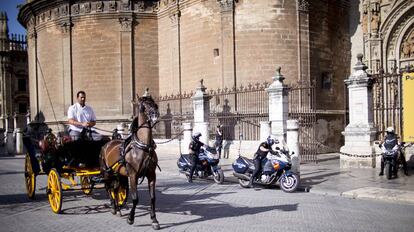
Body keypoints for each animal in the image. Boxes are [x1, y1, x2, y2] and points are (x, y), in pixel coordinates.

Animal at [98, 93, 160, 230]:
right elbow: (135, 198)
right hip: (107, 172)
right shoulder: (132, 175)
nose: (155, 115)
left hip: (118, 174)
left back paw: (118, 208)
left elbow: (153, 198)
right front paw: (130, 218)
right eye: (143, 105)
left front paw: (154, 220)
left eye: (154, 103)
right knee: (108, 187)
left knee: (115, 188)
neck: (143, 146)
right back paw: (113, 207)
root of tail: (107, 143)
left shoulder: (151, 175)